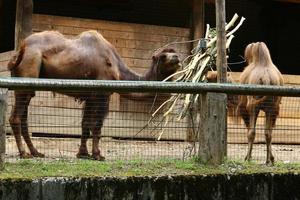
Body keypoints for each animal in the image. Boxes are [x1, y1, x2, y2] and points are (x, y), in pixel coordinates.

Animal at [7, 30, 180, 161]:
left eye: (174, 52)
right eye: (163, 56)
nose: (177, 58)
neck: (117, 68)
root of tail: (21, 49)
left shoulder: (90, 95)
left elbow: (85, 124)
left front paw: (83, 153)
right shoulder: (102, 93)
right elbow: (96, 124)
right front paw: (97, 155)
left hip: (24, 81)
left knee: (23, 116)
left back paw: (35, 152)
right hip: (30, 65)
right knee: (15, 117)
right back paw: (24, 153)